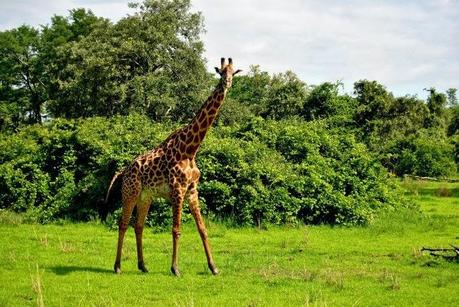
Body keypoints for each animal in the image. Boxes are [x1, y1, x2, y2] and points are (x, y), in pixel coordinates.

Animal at [106, 57, 243, 276]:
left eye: (233, 73)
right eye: (221, 73)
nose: (227, 83)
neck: (190, 149)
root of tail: (123, 171)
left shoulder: (192, 191)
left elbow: (202, 229)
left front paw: (214, 267)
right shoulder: (178, 189)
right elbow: (176, 229)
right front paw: (175, 268)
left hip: (146, 196)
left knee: (139, 225)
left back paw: (143, 266)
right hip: (130, 193)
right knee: (123, 223)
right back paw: (117, 266)